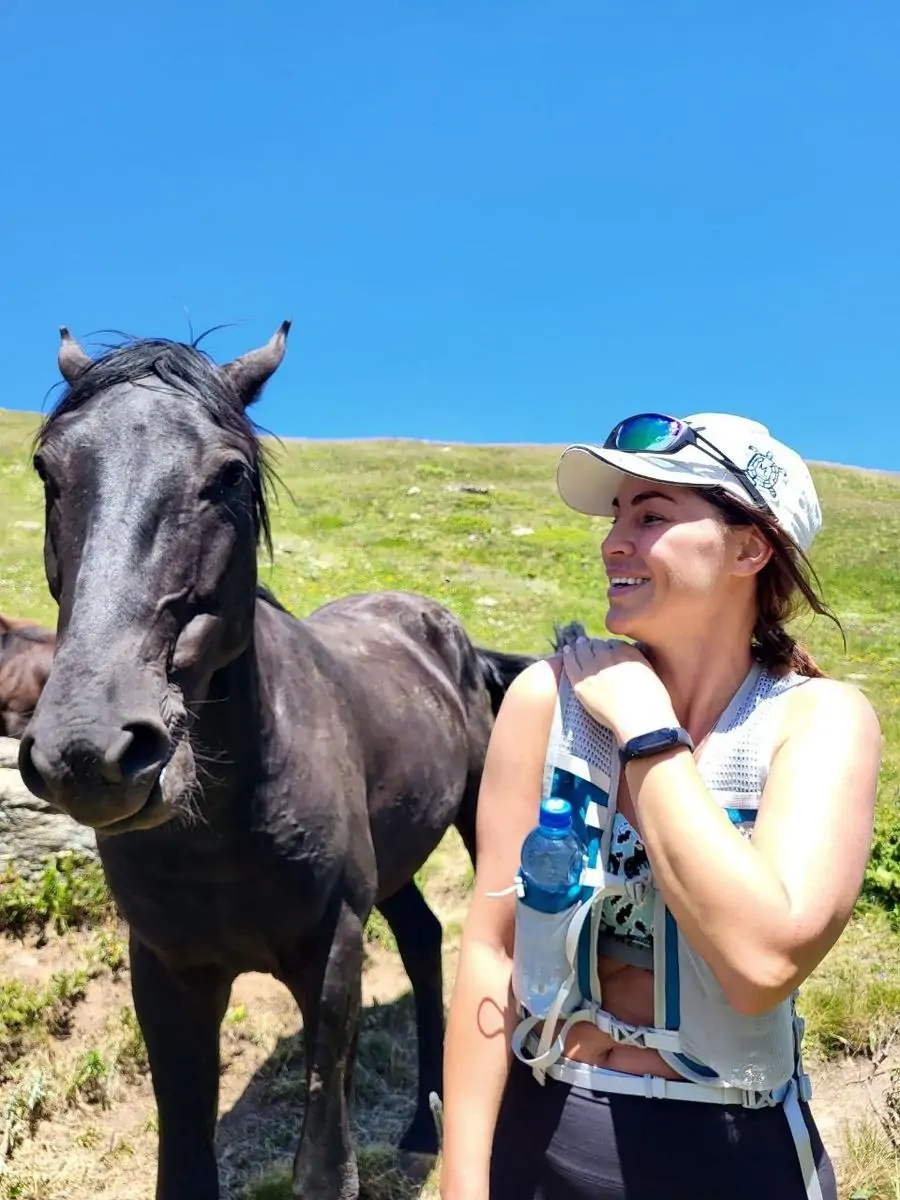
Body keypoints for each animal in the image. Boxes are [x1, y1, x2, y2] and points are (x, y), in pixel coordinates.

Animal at [17, 322, 571, 1200]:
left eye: (228, 474)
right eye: (49, 468)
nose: (87, 748)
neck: (228, 824)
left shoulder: (332, 957)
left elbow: (325, 1165)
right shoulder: (166, 975)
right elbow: (185, 1166)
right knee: (422, 938)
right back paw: (422, 1128)